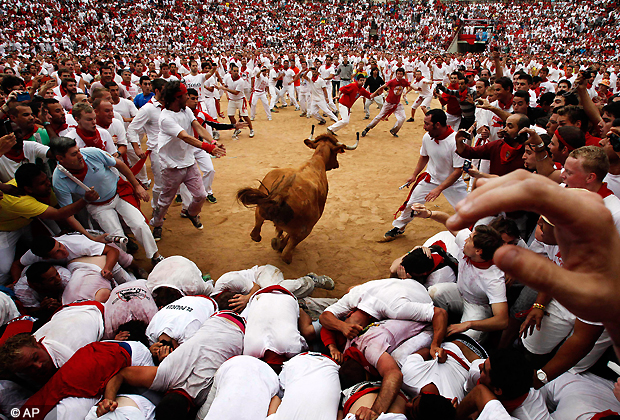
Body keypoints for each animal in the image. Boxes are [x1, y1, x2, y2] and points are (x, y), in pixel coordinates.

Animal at [240, 130, 360, 264]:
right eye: (336, 154)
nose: (337, 164)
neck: (317, 161)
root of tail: (281, 195)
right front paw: (280, 243)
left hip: (259, 211)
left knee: (255, 233)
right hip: (305, 229)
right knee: (286, 253)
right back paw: (283, 249)